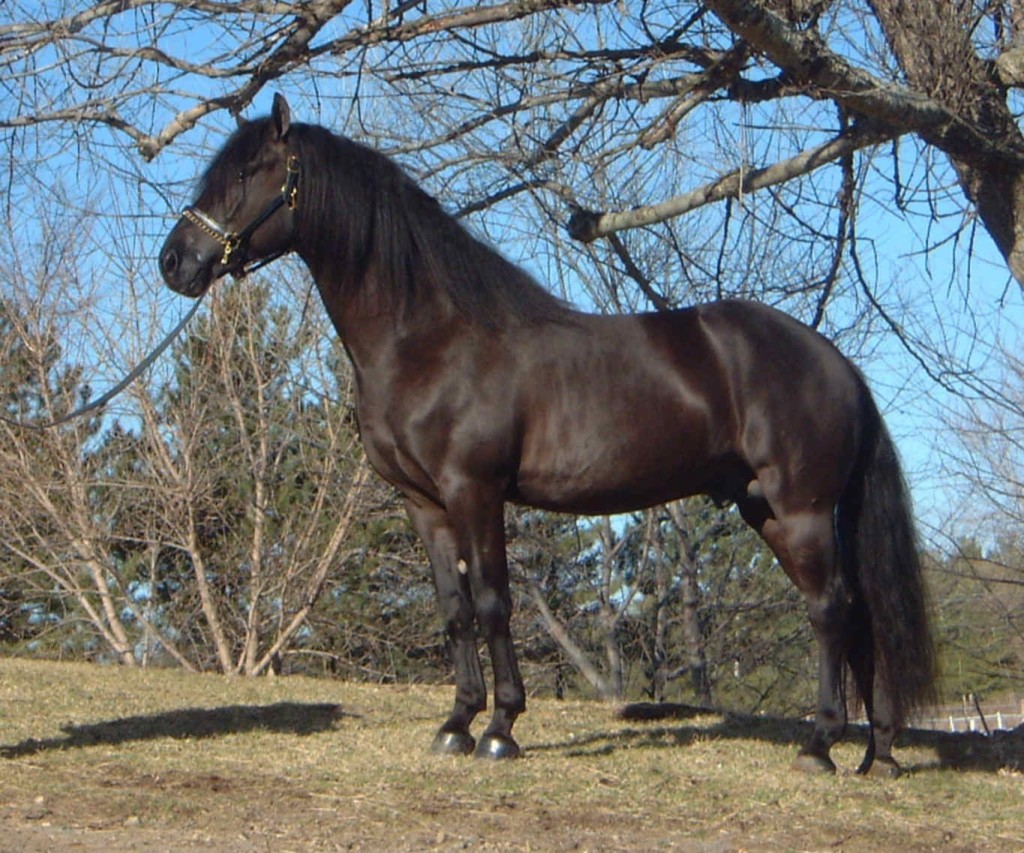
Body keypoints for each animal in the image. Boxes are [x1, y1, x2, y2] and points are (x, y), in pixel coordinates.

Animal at [159, 94, 937, 778]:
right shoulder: (424, 504)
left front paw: (501, 729)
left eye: (248, 172)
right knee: (857, 613)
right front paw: (456, 724)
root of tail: (835, 362)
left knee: (832, 611)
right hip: (764, 509)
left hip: (800, 509)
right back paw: (877, 754)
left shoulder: (475, 491)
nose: (176, 262)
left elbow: (493, 603)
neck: (430, 338)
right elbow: (454, 612)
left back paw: (821, 745)